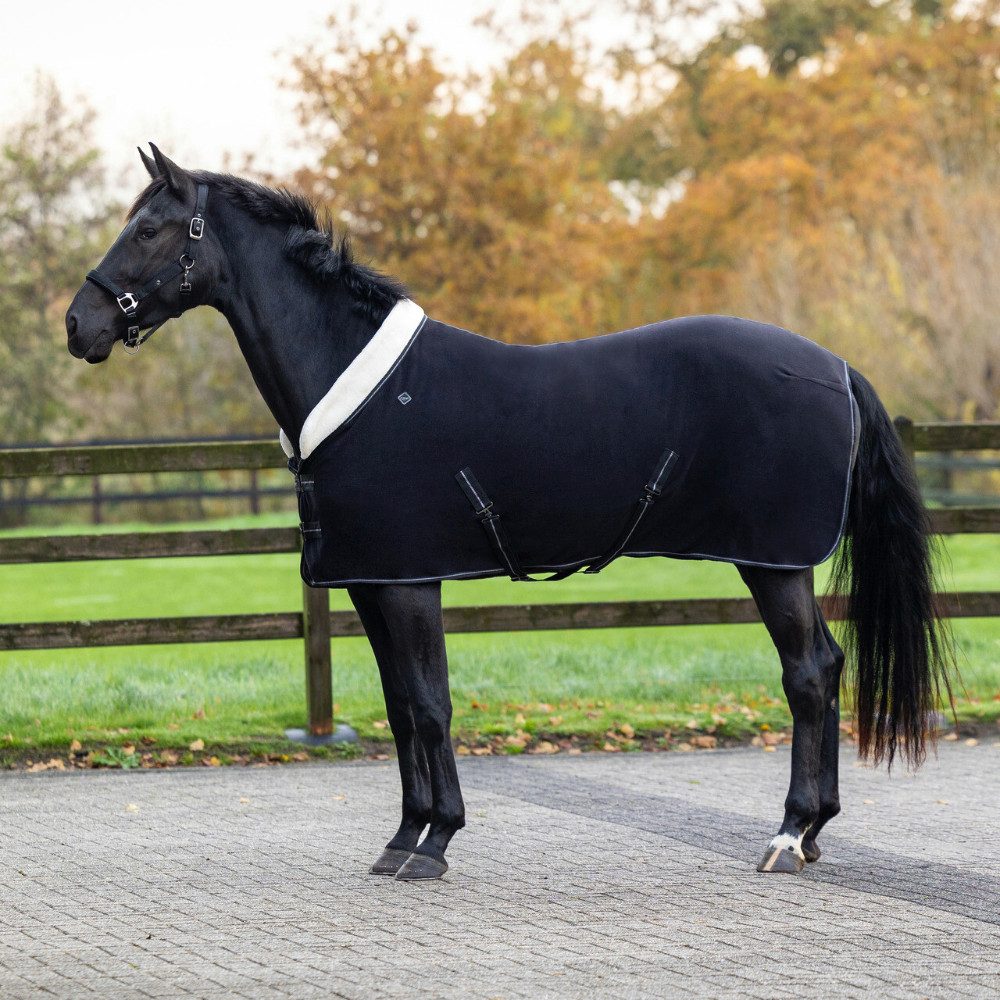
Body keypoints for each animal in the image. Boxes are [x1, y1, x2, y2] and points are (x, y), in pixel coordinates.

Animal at [65, 145, 952, 881]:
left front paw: (434, 842)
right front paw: (402, 838)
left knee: (808, 674)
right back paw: (811, 833)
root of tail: (834, 365)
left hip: (772, 563)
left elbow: (430, 705)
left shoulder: (411, 583)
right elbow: (399, 710)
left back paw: (788, 835)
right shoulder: (369, 583)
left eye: (150, 228)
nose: (80, 324)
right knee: (825, 668)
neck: (356, 387)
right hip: (776, 564)